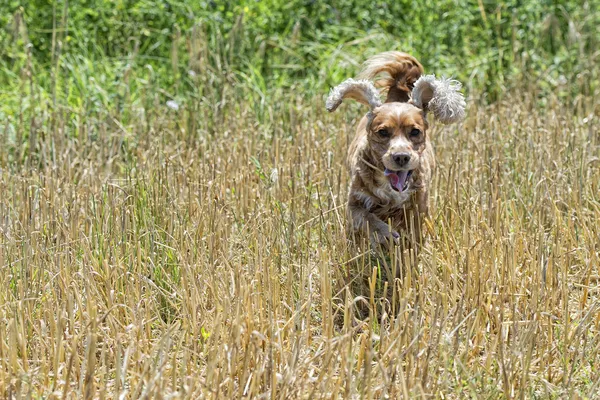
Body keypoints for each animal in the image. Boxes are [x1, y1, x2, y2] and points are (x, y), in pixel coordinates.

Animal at [326, 50, 466, 250]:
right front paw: (385, 235)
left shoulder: (418, 207)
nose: (401, 157)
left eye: (415, 131)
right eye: (382, 132)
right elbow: (367, 218)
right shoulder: (355, 203)